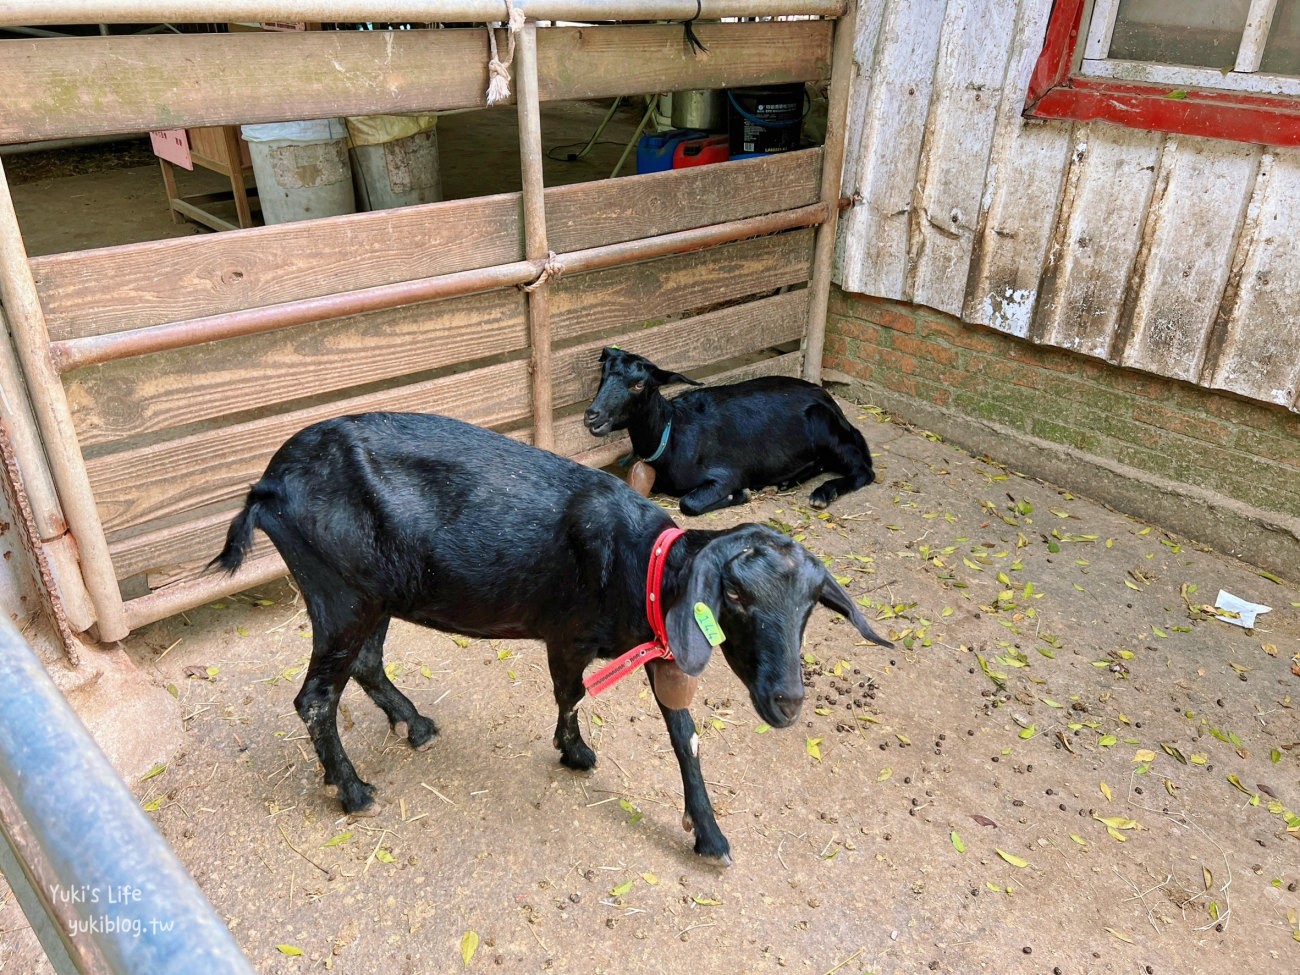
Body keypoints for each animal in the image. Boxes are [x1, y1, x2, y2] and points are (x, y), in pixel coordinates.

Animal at [215, 413, 894, 863]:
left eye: (810, 607)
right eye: (734, 596)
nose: (787, 701)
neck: (638, 563)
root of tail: (266, 487)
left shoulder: (662, 646)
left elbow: (685, 736)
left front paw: (710, 835)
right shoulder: (567, 637)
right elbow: (572, 695)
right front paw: (576, 754)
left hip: (375, 593)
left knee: (366, 664)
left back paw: (416, 725)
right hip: (339, 591)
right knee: (315, 697)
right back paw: (353, 790)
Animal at [585, 348, 878, 520]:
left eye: (638, 384)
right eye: (604, 375)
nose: (592, 415)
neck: (671, 434)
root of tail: (831, 402)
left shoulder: (726, 474)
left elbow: (688, 503)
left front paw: (739, 495)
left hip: (827, 429)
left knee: (864, 470)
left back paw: (822, 494)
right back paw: (785, 482)